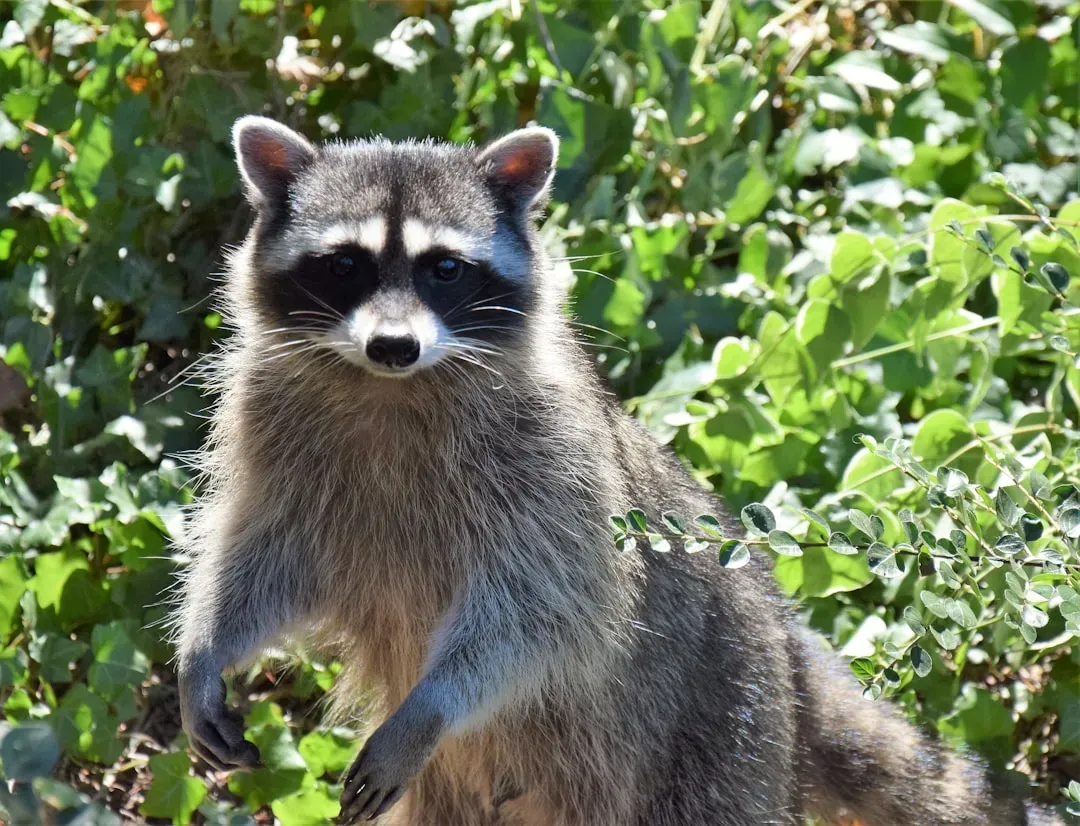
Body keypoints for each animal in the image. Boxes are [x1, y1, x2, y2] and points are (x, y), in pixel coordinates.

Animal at [170, 116, 1065, 826]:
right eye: (347, 264)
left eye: (444, 269)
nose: (394, 345)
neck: (391, 390)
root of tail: (780, 632)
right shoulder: (276, 435)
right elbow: (265, 554)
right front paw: (206, 647)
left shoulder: (554, 468)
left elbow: (542, 614)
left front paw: (435, 702)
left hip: (720, 737)